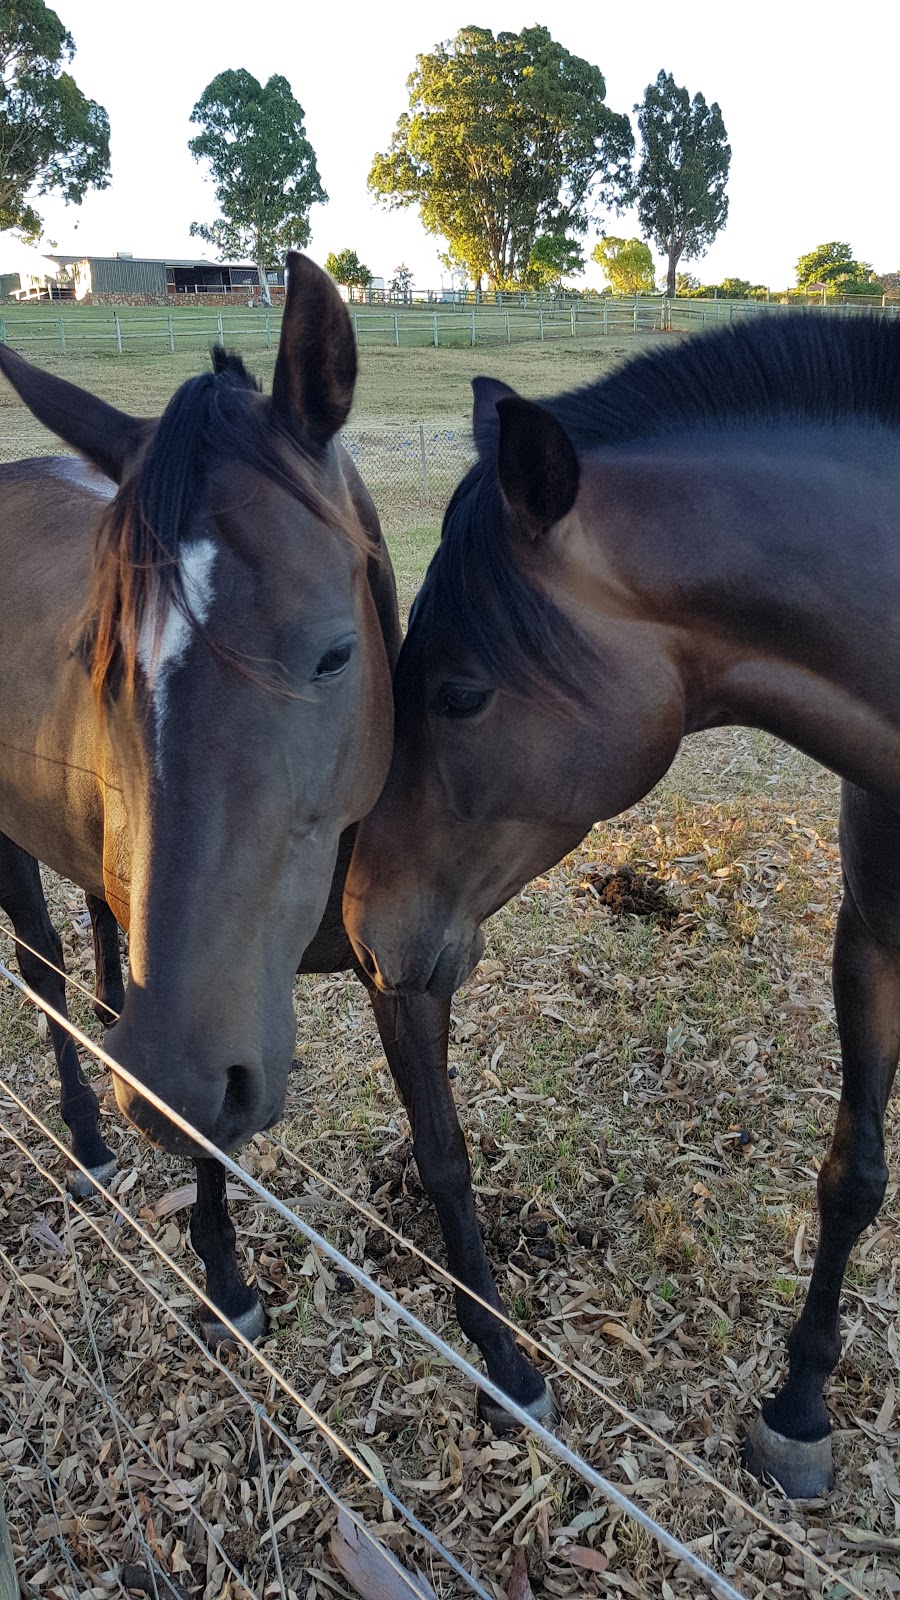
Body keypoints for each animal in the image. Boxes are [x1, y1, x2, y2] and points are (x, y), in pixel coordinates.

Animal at [0, 256, 550, 1433]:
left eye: (336, 653)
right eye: (98, 657)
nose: (153, 1077)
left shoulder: (405, 968)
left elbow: (443, 1153)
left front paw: (505, 1361)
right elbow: (210, 1124)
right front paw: (224, 1277)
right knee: (43, 969)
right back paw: (87, 1135)